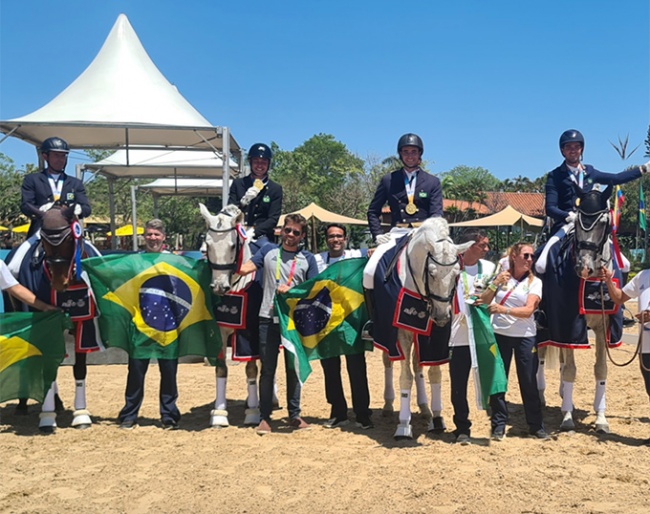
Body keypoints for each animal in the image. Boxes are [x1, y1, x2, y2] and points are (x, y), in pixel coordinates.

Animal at [197, 202, 260, 426]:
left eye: (233, 246)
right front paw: (219, 413)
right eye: (207, 245)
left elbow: (251, 369)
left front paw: (253, 412)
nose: (218, 287)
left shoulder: (250, 333)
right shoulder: (219, 332)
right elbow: (221, 369)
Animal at [374, 216, 470, 436]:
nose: (442, 315)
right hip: (385, 335)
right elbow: (405, 377)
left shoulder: (436, 335)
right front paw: (403, 424)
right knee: (388, 361)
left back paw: (425, 407)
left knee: (417, 365)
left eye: (456, 273)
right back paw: (388, 405)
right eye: (432, 273)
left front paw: (437, 417)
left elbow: (434, 373)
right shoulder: (401, 333)